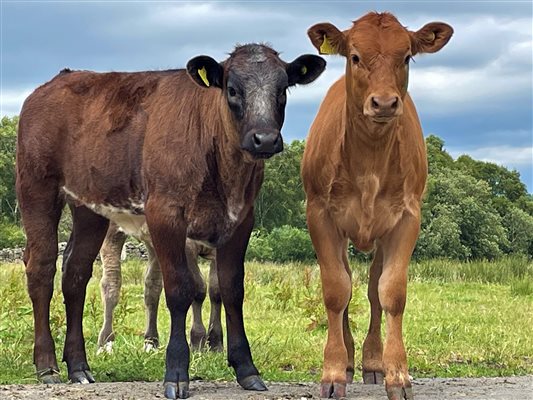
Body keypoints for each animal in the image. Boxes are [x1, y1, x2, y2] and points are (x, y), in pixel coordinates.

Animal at [96, 222, 221, 354]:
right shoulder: (186, 243)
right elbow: (199, 289)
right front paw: (198, 341)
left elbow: (216, 292)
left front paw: (215, 343)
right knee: (111, 280)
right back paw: (105, 343)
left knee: (152, 286)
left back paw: (151, 342)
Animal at [302, 10, 450, 398]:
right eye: (355, 56)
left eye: (407, 57)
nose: (383, 103)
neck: (369, 158)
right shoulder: (320, 215)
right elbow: (336, 291)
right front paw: (334, 371)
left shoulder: (406, 218)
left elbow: (391, 292)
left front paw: (397, 374)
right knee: (348, 284)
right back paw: (350, 359)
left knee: (371, 289)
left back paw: (371, 361)